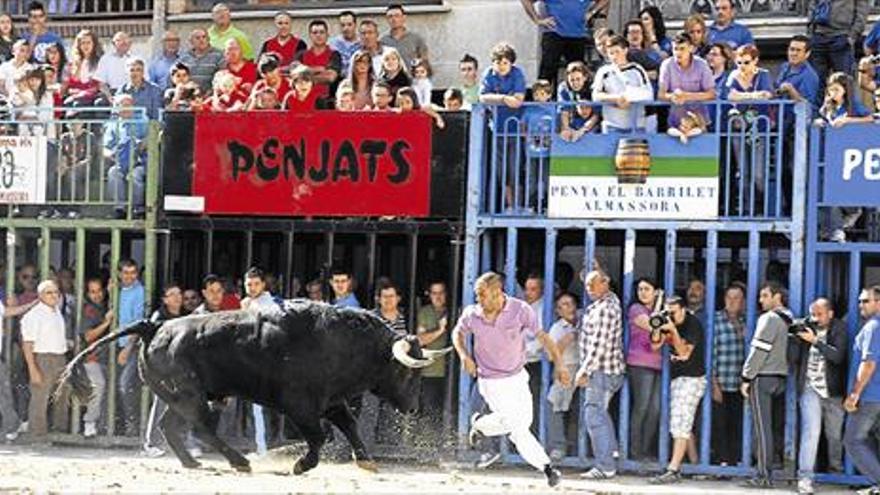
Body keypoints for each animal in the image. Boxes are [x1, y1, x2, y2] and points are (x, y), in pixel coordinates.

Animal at [55, 300, 450, 474]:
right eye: (406, 374)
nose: (413, 408)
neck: (342, 340)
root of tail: (156, 327)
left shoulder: (331, 400)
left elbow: (348, 426)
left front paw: (366, 460)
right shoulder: (300, 405)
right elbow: (320, 436)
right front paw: (302, 464)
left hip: (181, 397)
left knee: (171, 425)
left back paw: (193, 462)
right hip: (192, 396)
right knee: (201, 428)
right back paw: (239, 460)